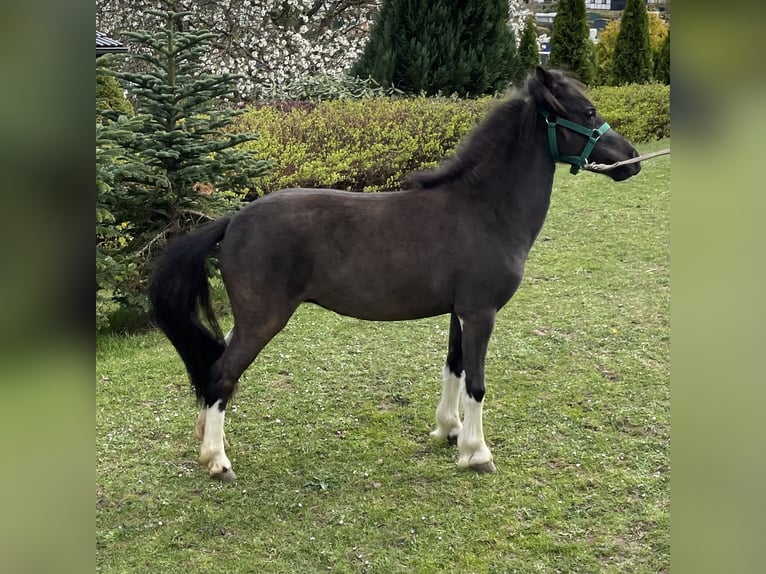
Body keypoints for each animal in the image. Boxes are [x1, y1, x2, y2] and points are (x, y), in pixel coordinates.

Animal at [149, 67, 641, 481]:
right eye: (588, 112)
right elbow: (476, 383)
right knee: (221, 374)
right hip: (262, 320)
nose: (632, 160)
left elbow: (454, 368)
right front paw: (478, 453)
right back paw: (217, 460)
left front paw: (450, 433)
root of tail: (232, 220)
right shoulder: (481, 313)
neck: (484, 209)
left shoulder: (460, 313)